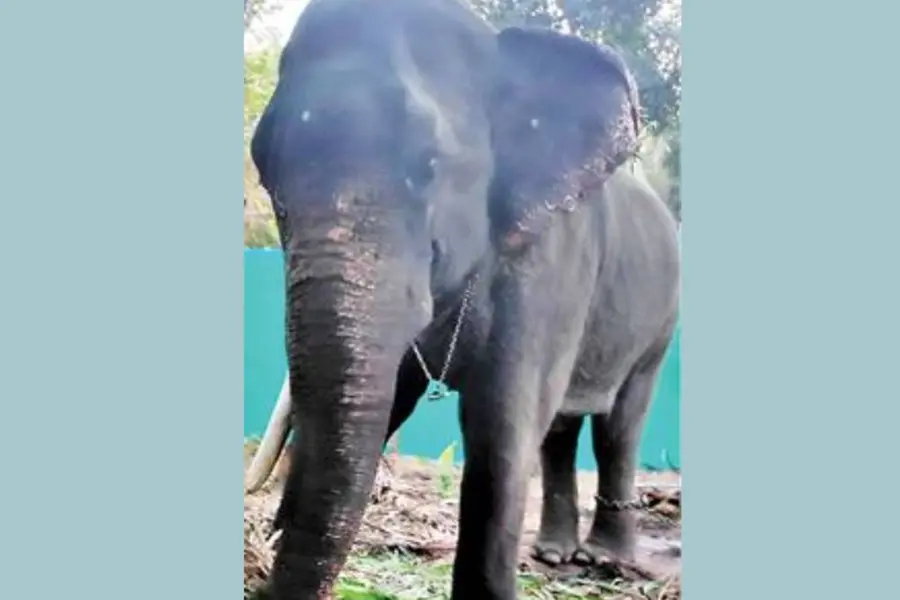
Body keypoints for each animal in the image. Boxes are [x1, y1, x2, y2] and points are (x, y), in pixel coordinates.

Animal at [246, 1, 680, 598]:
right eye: (264, 169)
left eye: (429, 165)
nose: (264, 554)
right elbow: (391, 402)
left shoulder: (551, 263)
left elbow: (500, 428)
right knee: (562, 428)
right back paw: (553, 551)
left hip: (659, 326)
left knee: (620, 423)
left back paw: (603, 558)